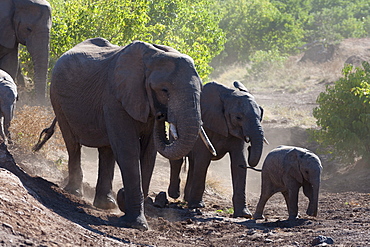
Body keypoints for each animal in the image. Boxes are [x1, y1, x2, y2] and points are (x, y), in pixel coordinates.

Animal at [32, 37, 208, 231]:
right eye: (164, 90)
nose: (162, 115)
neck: (151, 58)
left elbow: (148, 153)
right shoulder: (115, 98)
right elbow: (128, 149)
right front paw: (137, 224)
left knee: (107, 150)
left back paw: (106, 204)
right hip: (57, 98)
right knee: (73, 144)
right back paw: (75, 193)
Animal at [168, 81, 266, 218]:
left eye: (261, 115)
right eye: (238, 117)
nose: (250, 147)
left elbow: (238, 162)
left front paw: (244, 214)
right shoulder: (205, 124)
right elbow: (203, 160)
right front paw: (197, 206)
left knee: (193, 164)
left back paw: (187, 199)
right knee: (178, 160)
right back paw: (175, 195)